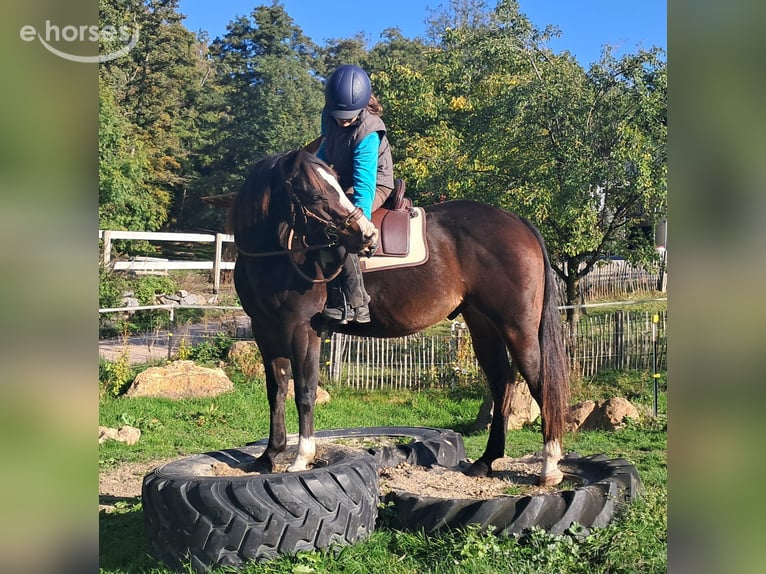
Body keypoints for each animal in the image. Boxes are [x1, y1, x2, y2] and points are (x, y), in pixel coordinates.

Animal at [227, 148, 570, 486]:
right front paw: (268, 455)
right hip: (483, 326)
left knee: (540, 384)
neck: (278, 253)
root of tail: (516, 221)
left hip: (518, 327)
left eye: (331, 187)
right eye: (314, 193)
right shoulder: (265, 330)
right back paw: (486, 461)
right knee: (502, 384)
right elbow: (276, 391)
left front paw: (301, 458)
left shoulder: (302, 330)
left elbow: (304, 391)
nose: (366, 235)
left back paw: (549, 467)